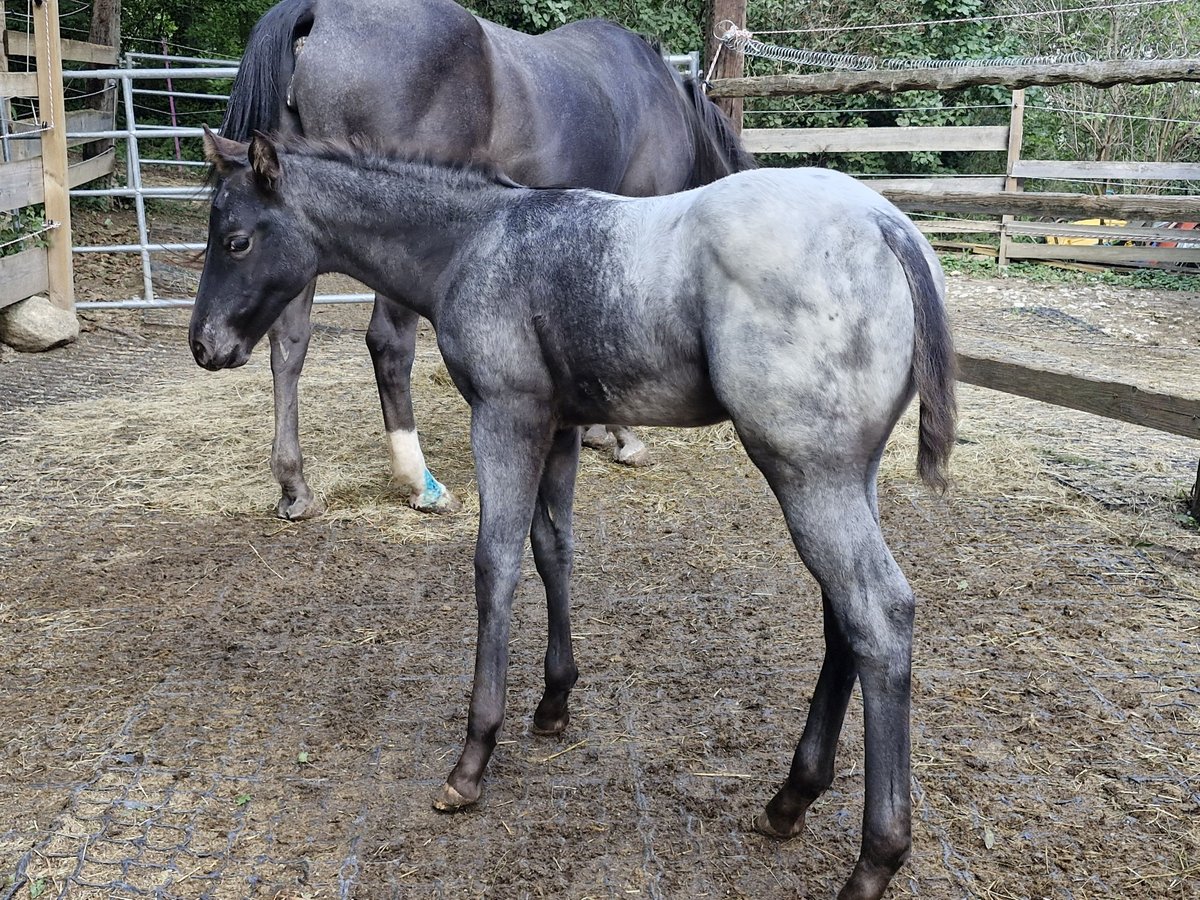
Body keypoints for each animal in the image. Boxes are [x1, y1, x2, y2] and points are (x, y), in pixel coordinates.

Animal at [189, 128, 955, 900]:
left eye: (235, 240)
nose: (204, 345)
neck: (475, 240)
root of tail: (885, 225)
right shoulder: (557, 427)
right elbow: (553, 547)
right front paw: (554, 702)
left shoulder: (505, 415)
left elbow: (495, 565)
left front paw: (472, 759)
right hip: (845, 474)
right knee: (843, 619)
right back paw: (791, 799)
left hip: (805, 471)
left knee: (878, 614)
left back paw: (873, 861)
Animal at [218, 0, 748, 520]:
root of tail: (315, 14)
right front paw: (623, 437)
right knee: (388, 345)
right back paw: (422, 483)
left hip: (295, 246)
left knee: (288, 344)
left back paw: (295, 486)